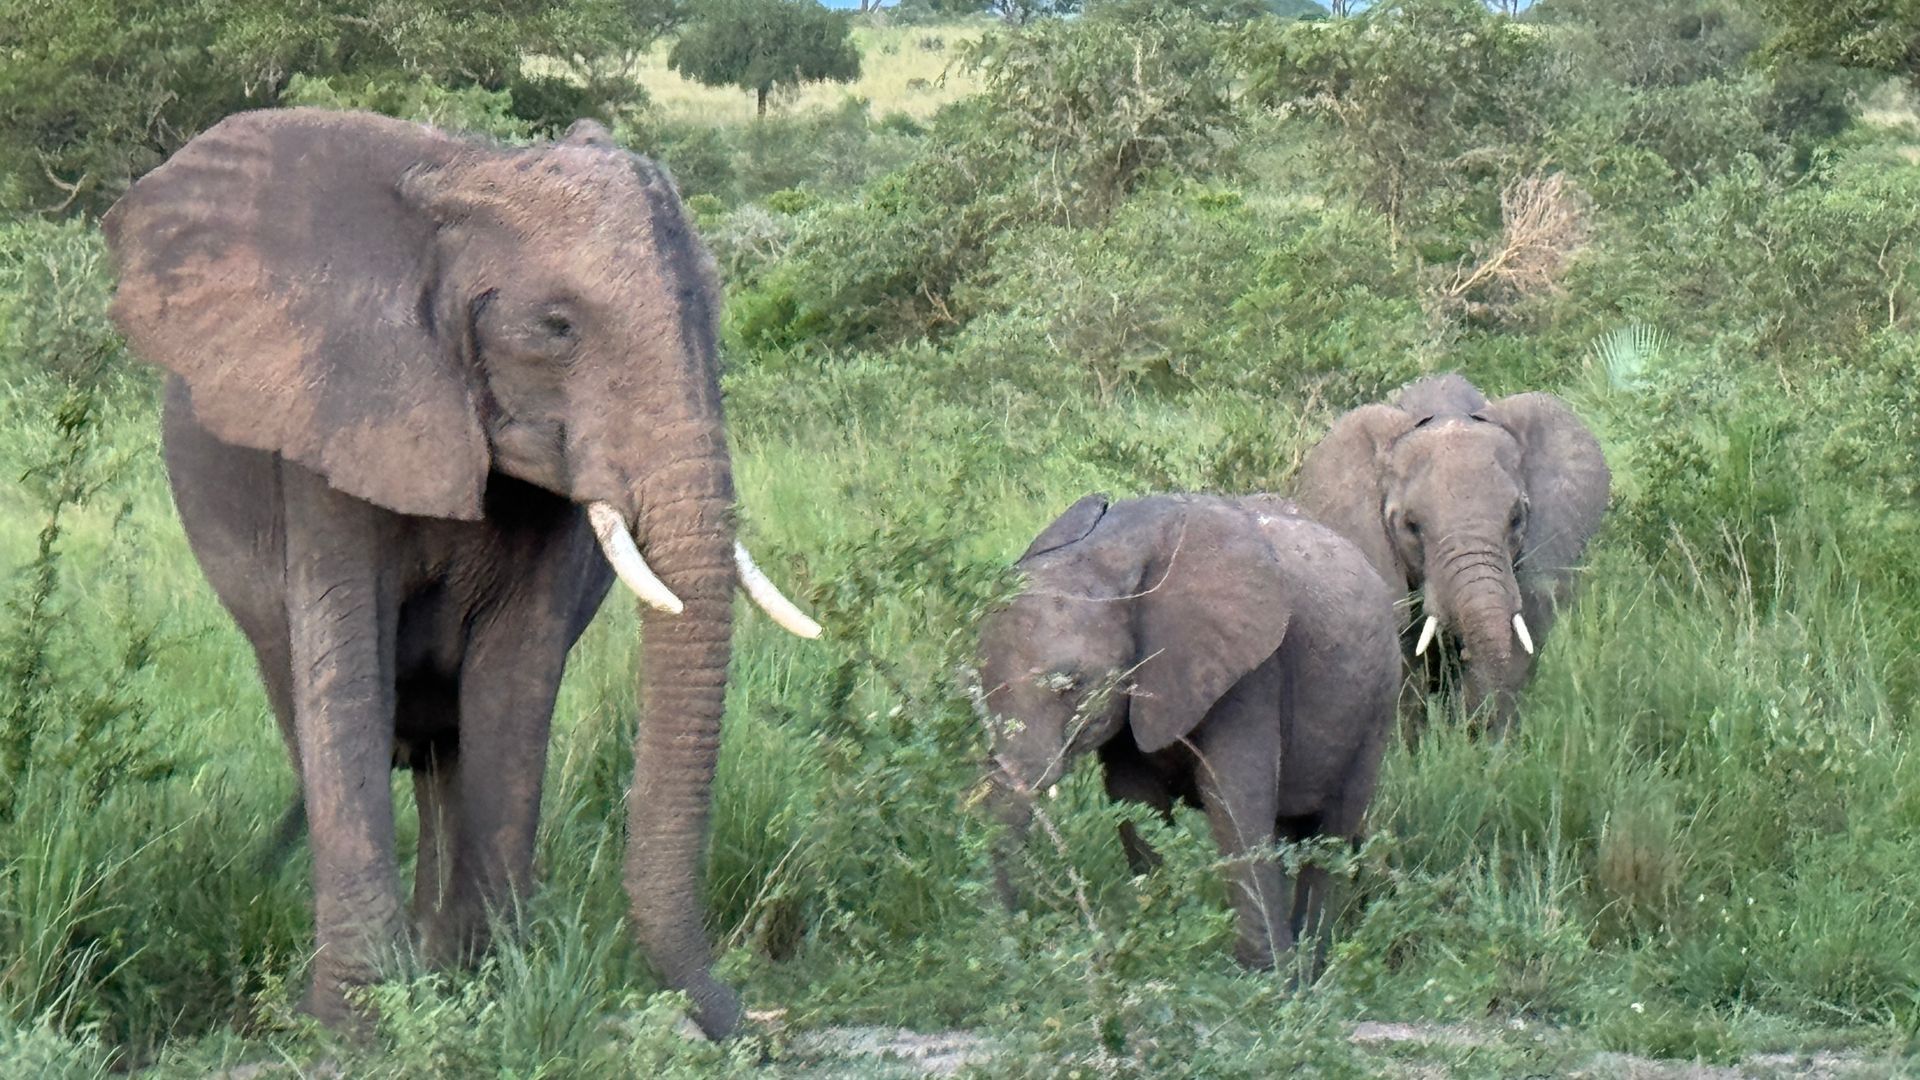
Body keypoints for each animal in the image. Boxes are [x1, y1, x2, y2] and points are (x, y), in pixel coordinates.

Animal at [103, 107, 817, 1037]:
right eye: (557, 326)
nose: (757, 1026)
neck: (466, 177)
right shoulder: (332, 412)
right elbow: (346, 669)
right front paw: (356, 1024)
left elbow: (516, 679)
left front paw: (492, 986)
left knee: (445, 751)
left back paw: (439, 961)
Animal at [983, 491, 1405, 972]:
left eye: (1070, 683)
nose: (1017, 946)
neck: (1113, 551)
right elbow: (1135, 799)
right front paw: (1164, 949)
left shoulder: (1253, 669)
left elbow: (1231, 798)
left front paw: (1263, 979)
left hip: (1378, 700)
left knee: (1331, 831)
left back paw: (1311, 968)